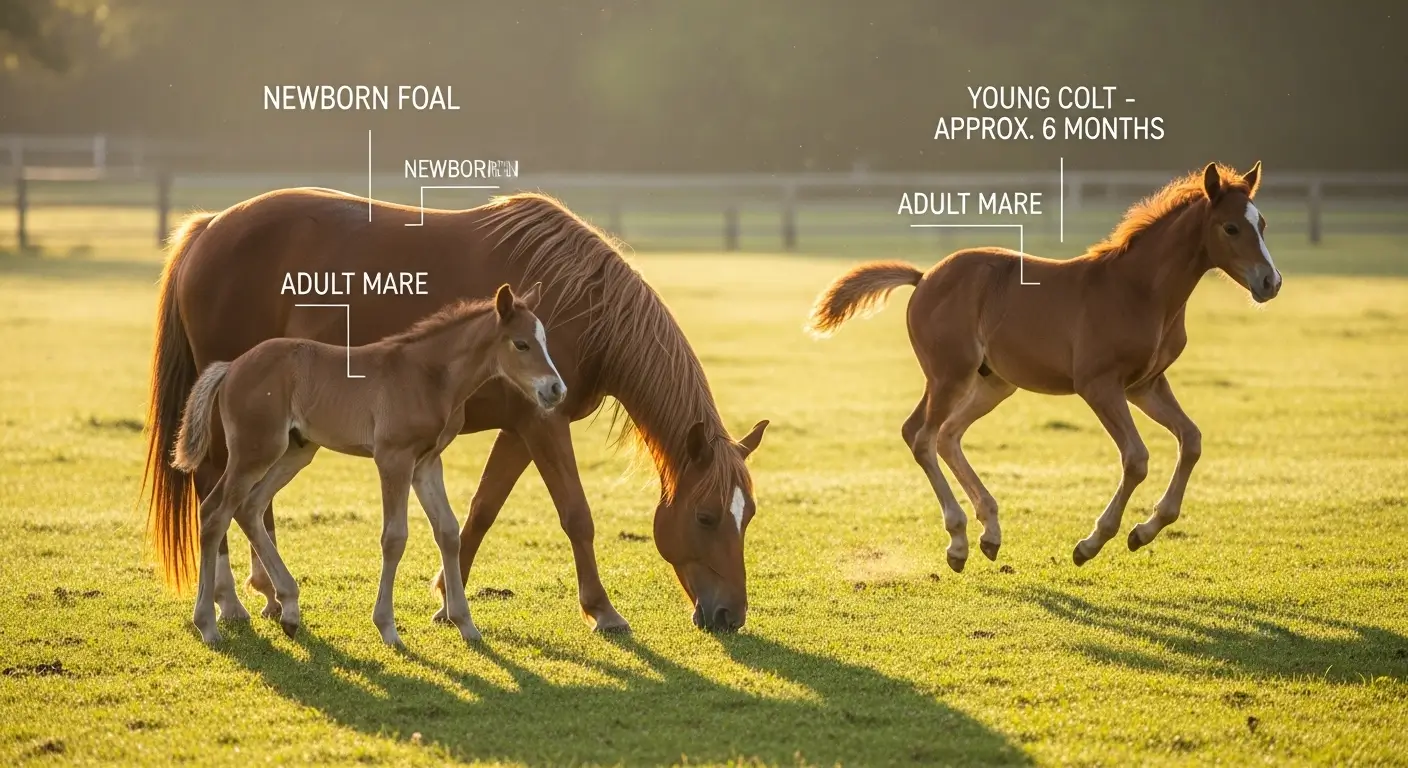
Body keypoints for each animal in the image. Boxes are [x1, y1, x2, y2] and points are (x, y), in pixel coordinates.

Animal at [170, 284, 564, 646]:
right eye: (521, 344)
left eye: (545, 341)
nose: (556, 390)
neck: (427, 375)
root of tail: (232, 366)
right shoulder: (393, 458)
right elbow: (394, 537)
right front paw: (388, 627)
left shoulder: (427, 463)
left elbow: (449, 532)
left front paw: (464, 623)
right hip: (255, 451)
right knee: (215, 512)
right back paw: (208, 624)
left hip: (295, 451)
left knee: (249, 508)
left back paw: (290, 609)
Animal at [805, 162, 1281, 570]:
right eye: (1230, 227)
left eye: (1261, 224)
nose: (1270, 282)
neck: (1140, 290)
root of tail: (924, 278)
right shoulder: (1099, 385)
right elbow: (1136, 458)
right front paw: (1092, 543)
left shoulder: (1145, 385)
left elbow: (1192, 440)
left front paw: (1144, 531)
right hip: (949, 375)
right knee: (921, 436)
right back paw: (958, 541)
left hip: (993, 383)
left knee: (947, 434)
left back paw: (990, 534)